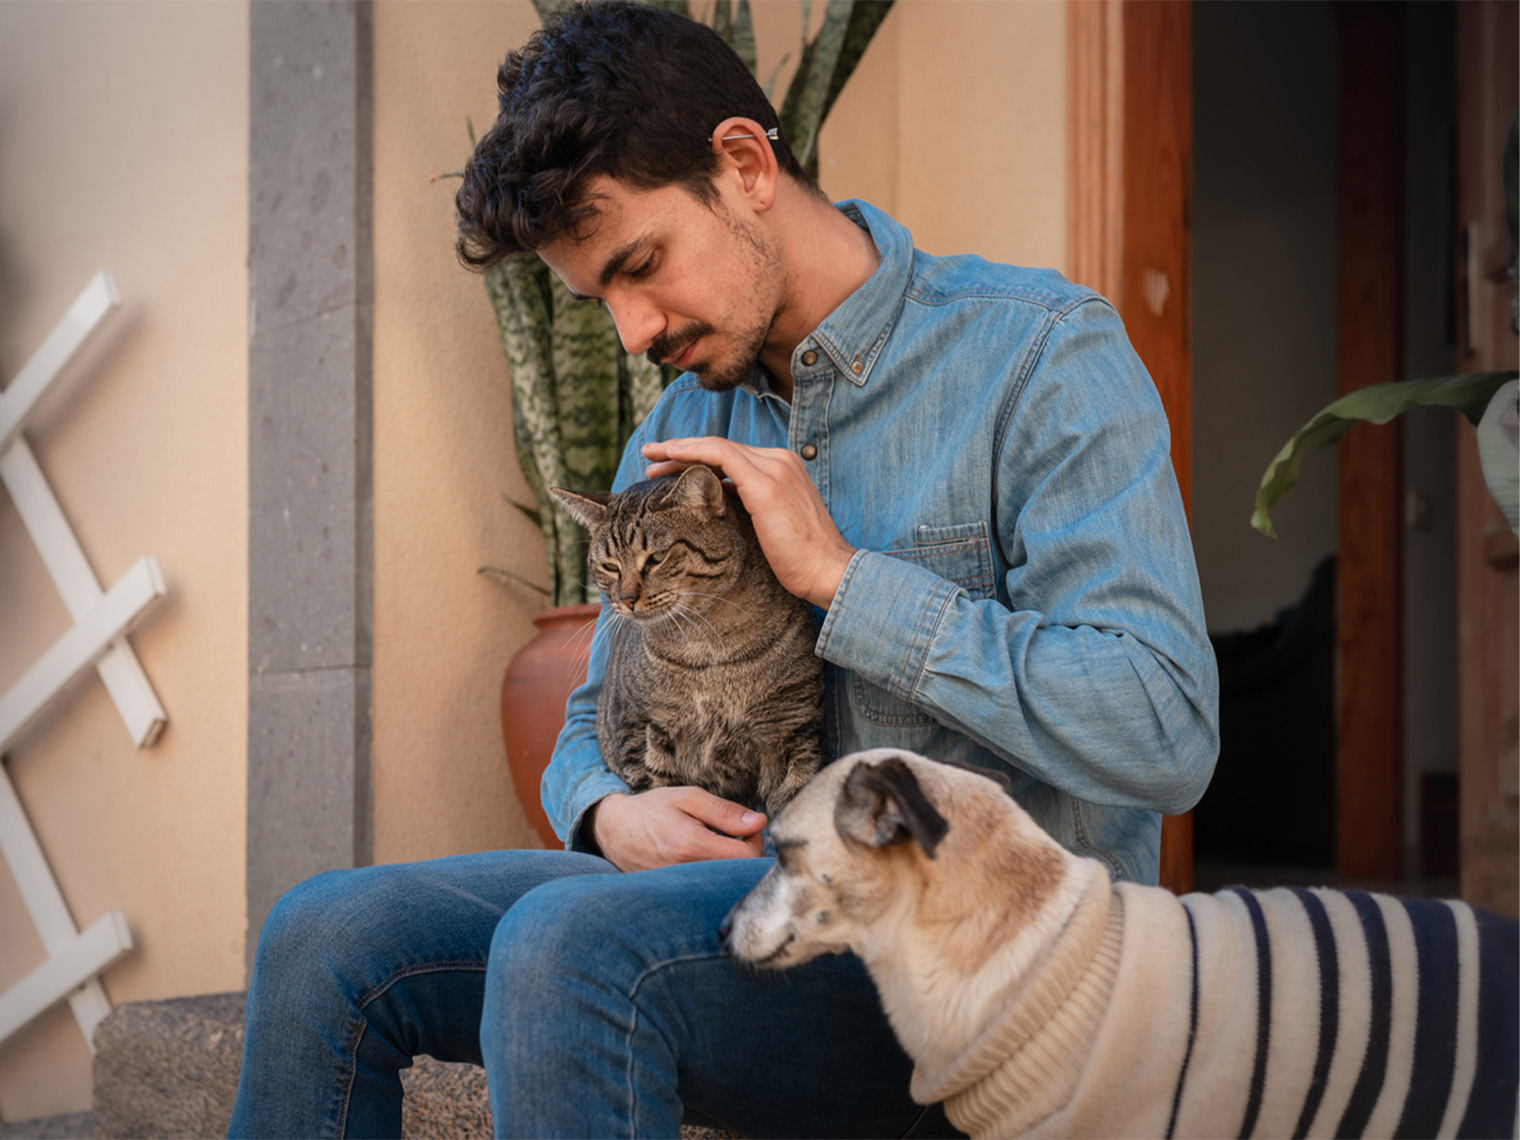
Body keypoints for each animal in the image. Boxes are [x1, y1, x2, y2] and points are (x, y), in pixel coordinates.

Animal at [553, 465, 826, 820]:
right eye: (610, 566)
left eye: (656, 557)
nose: (626, 599)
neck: (710, 647)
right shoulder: (641, 730)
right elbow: (655, 794)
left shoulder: (791, 728)